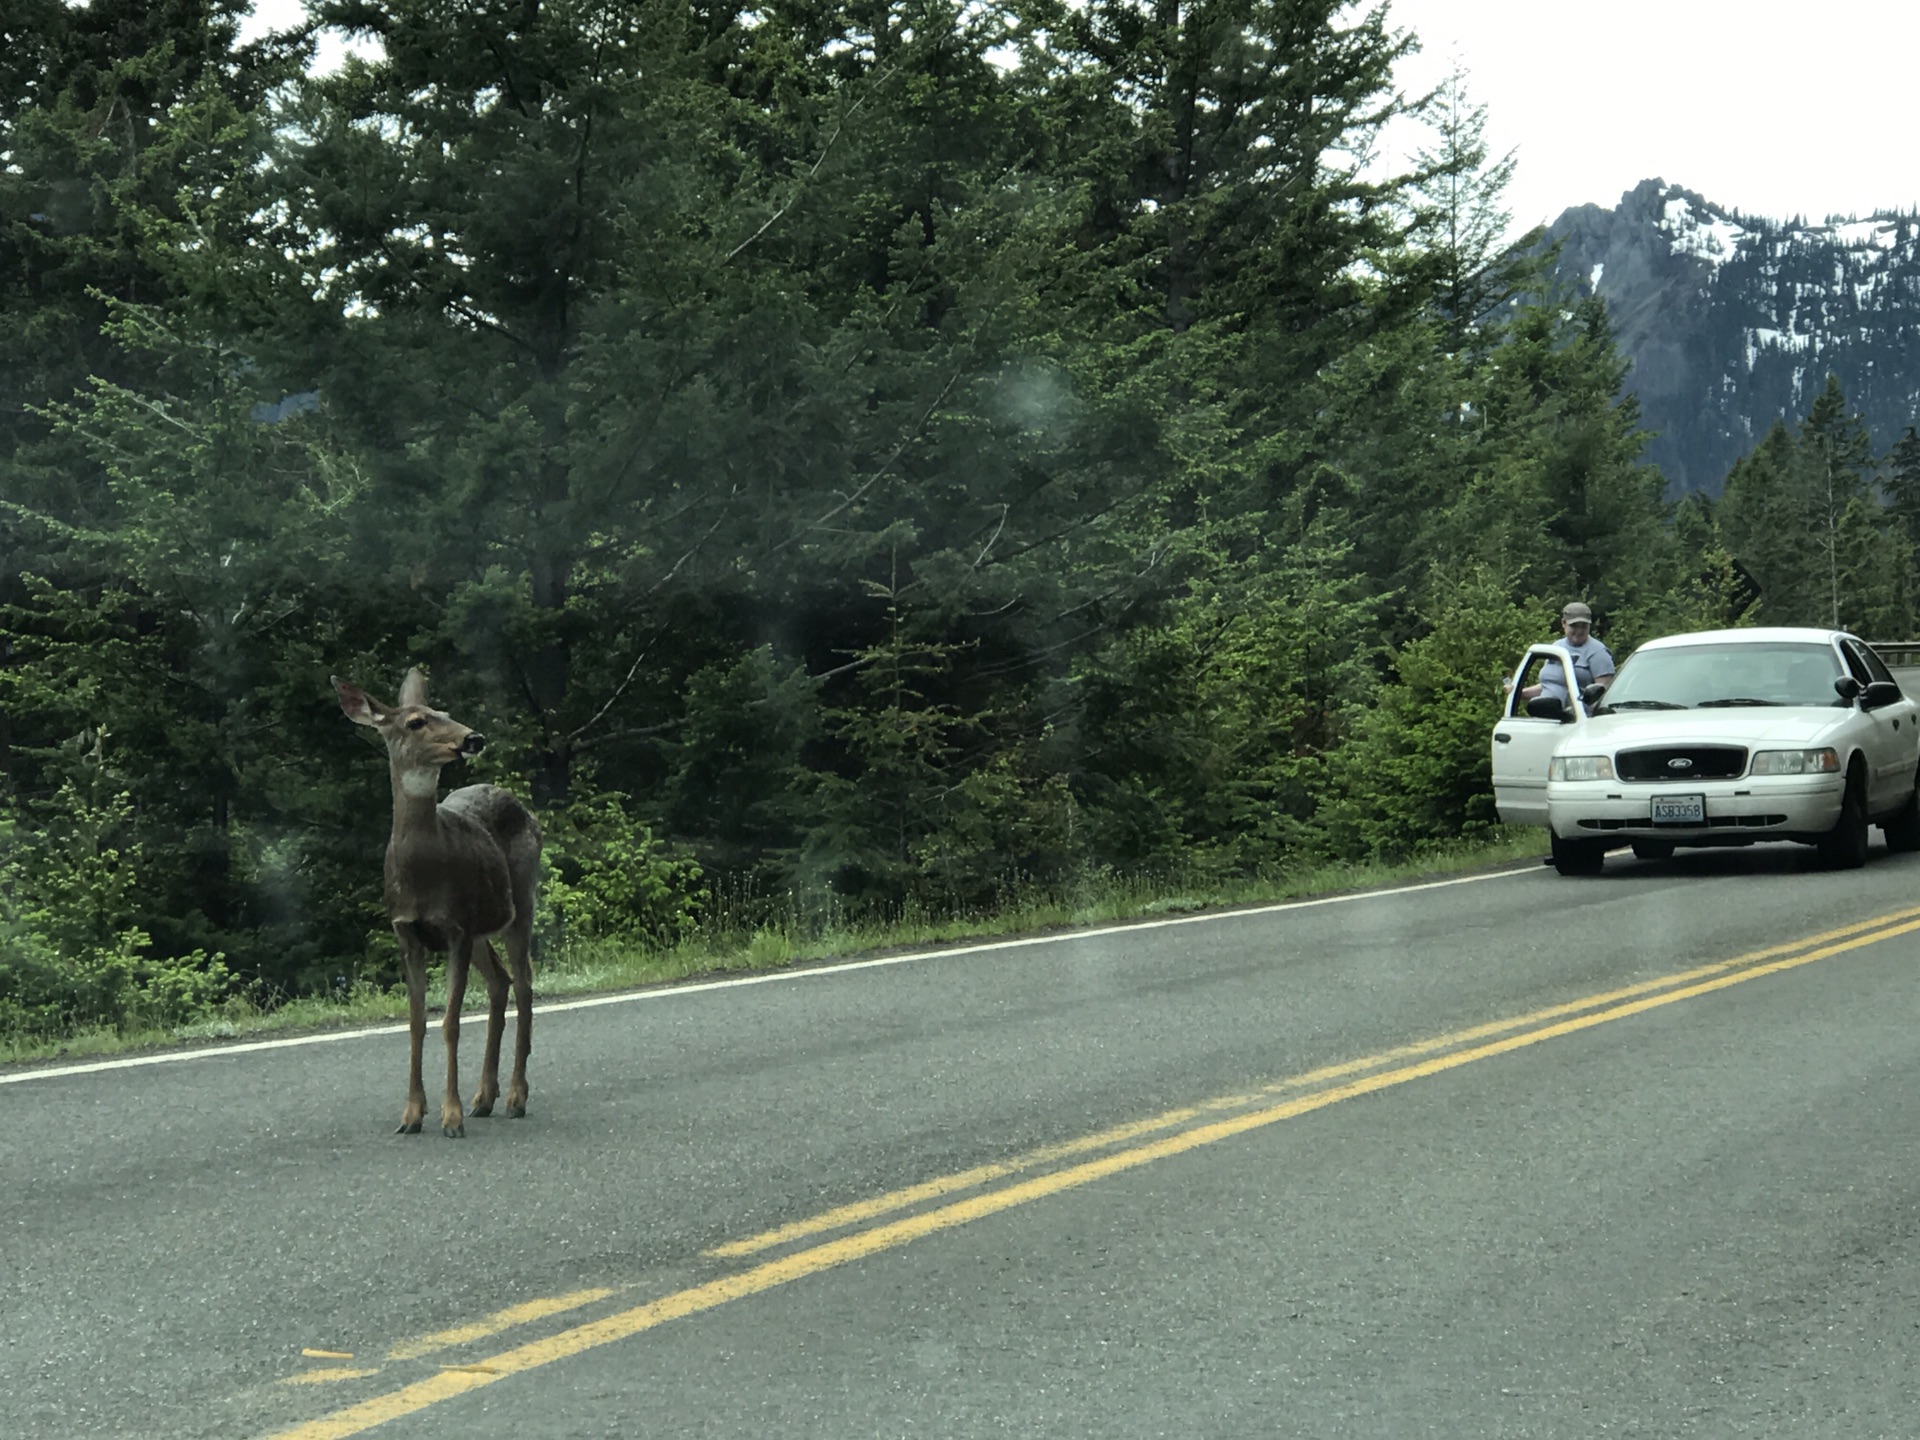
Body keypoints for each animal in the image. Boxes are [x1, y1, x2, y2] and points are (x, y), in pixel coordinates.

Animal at [334, 672, 545, 1144]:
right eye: (416, 721)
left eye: (446, 712)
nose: (473, 738)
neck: (421, 874)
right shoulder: (409, 933)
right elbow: (416, 1022)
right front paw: (412, 1115)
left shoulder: (455, 929)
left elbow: (450, 1022)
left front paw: (450, 1118)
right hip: (483, 924)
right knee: (502, 982)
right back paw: (484, 1096)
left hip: (520, 902)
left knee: (524, 985)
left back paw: (515, 1098)